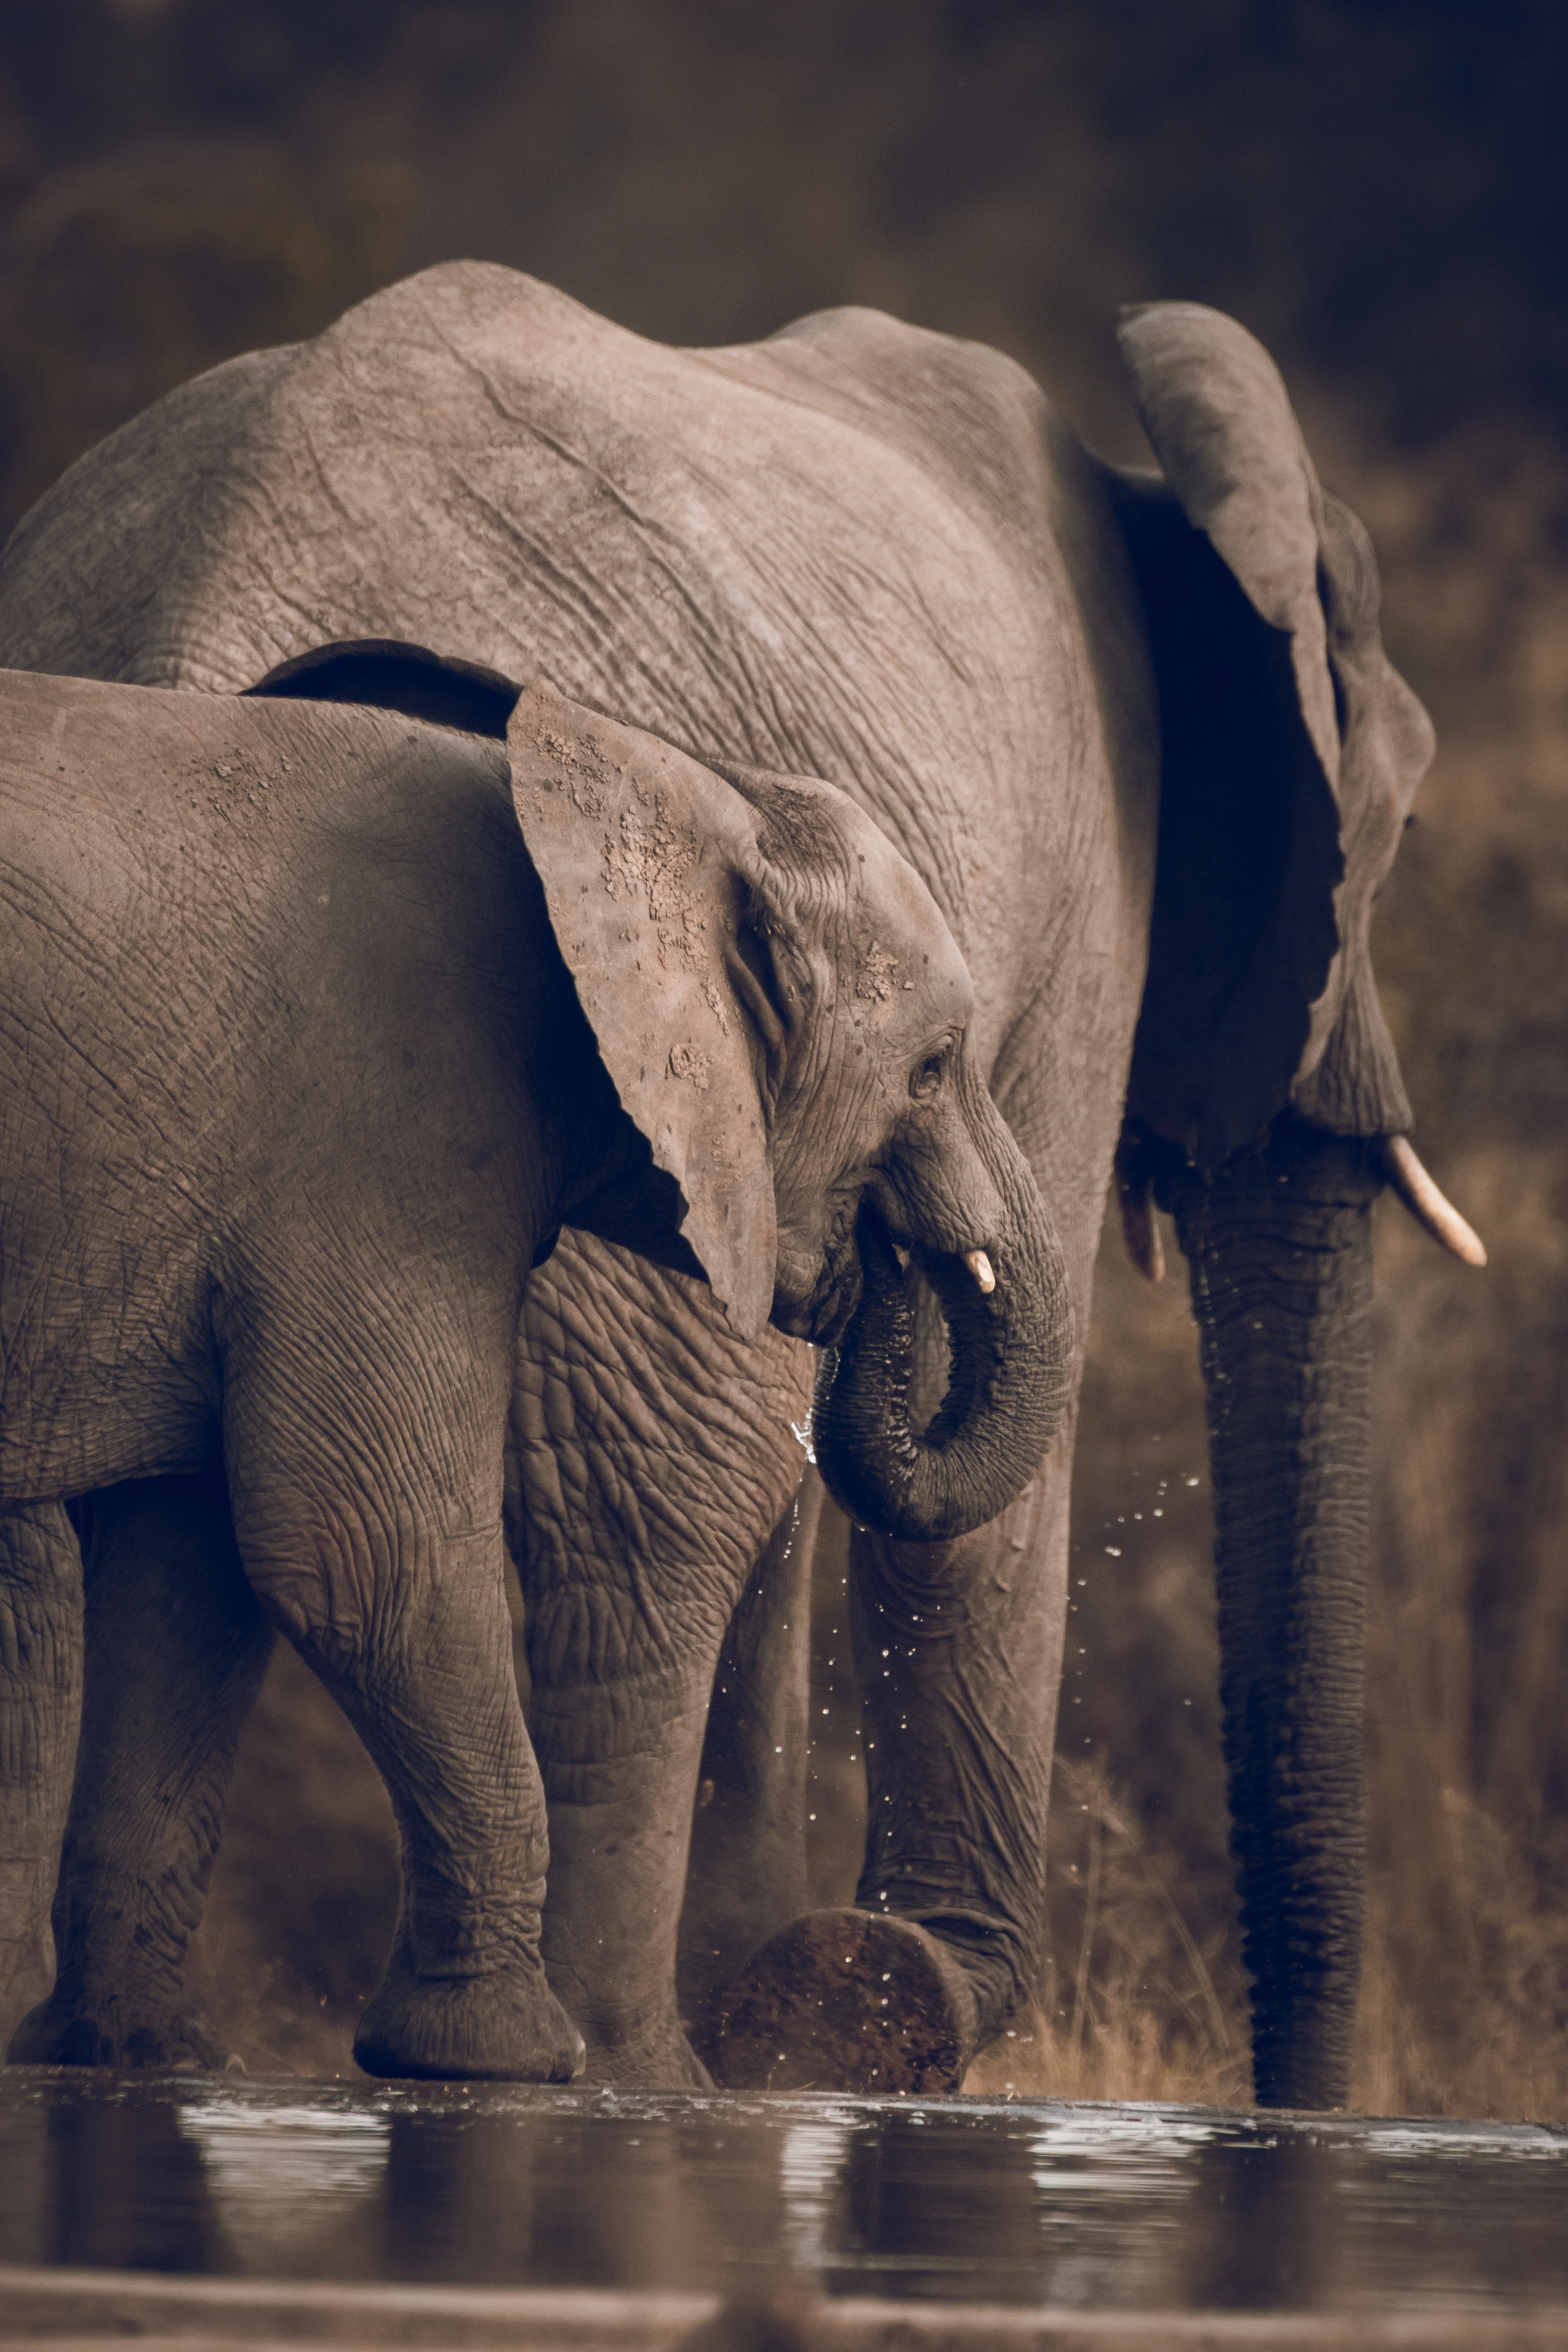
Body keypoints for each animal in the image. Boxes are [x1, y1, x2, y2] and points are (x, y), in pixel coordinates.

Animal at [0, 664, 1067, 2081]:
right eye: (936, 1068)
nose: (873, 1271)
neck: (672, 793)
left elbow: (193, 1570)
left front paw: (135, 2058)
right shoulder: (391, 1123)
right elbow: (364, 1553)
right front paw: (507, 2059)